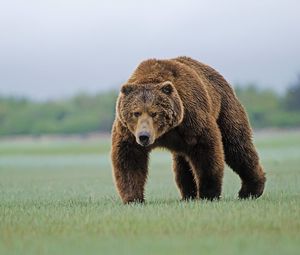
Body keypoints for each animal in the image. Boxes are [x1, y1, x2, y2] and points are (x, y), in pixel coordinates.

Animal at [111, 55, 266, 203]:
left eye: (154, 113)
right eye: (136, 113)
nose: (144, 136)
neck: (165, 132)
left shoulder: (191, 119)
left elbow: (206, 152)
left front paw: (208, 194)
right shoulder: (128, 132)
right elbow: (129, 159)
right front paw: (133, 198)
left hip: (225, 109)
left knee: (237, 146)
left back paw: (250, 190)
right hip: (182, 143)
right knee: (182, 164)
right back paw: (188, 195)